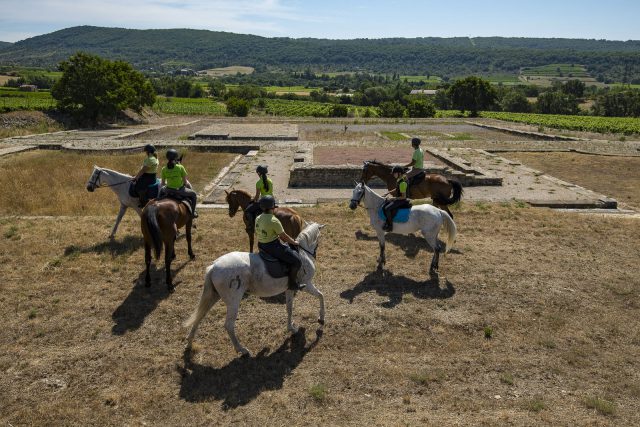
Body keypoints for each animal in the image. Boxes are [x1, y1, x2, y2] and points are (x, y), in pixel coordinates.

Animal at [184, 222, 324, 356]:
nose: (315, 253)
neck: (303, 253)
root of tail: (213, 266)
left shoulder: (289, 289)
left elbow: (289, 308)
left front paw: (291, 328)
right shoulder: (306, 284)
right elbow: (321, 295)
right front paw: (321, 318)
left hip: (213, 296)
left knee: (199, 316)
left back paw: (189, 344)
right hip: (233, 301)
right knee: (229, 325)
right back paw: (242, 350)